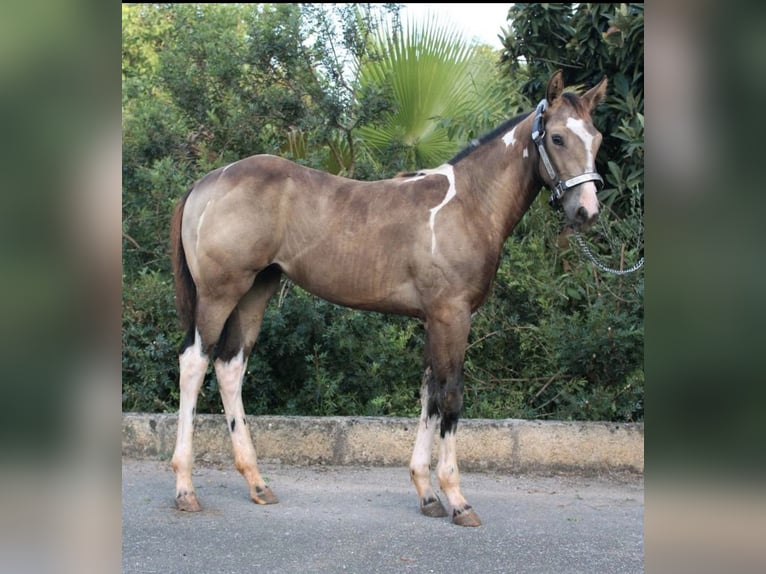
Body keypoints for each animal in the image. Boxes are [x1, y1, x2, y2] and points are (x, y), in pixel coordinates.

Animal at [169, 70, 607, 526]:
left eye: (596, 138)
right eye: (557, 138)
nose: (587, 211)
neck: (468, 204)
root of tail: (208, 182)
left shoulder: (433, 319)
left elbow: (430, 394)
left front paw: (428, 494)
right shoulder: (453, 316)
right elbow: (451, 395)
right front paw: (458, 499)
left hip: (256, 292)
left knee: (230, 366)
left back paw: (257, 484)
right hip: (220, 294)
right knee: (195, 362)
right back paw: (185, 489)